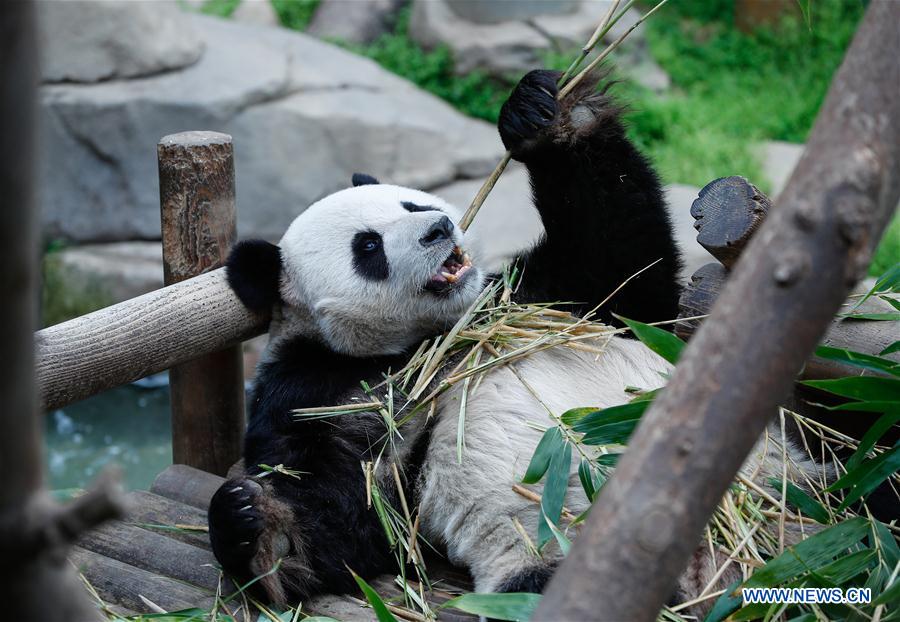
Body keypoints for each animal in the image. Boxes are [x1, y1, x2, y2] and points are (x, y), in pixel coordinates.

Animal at [206, 69, 824, 616]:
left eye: (411, 204)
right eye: (369, 247)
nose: (438, 230)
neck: (428, 338)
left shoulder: (535, 298)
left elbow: (622, 263)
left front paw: (548, 115)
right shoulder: (320, 387)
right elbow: (348, 511)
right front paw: (254, 530)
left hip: (786, 468)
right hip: (547, 556)